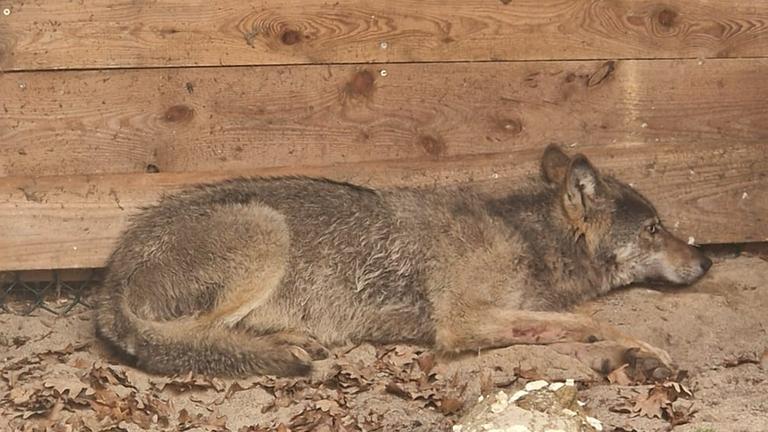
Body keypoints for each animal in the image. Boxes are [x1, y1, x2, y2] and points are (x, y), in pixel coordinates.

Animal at [94, 145, 712, 378]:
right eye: (655, 229)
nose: (706, 260)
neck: (524, 237)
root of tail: (111, 276)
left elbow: (572, 323)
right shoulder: (462, 323)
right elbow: (590, 322)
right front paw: (643, 351)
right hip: (267, 230)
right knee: (190, 339)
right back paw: (281, 348)